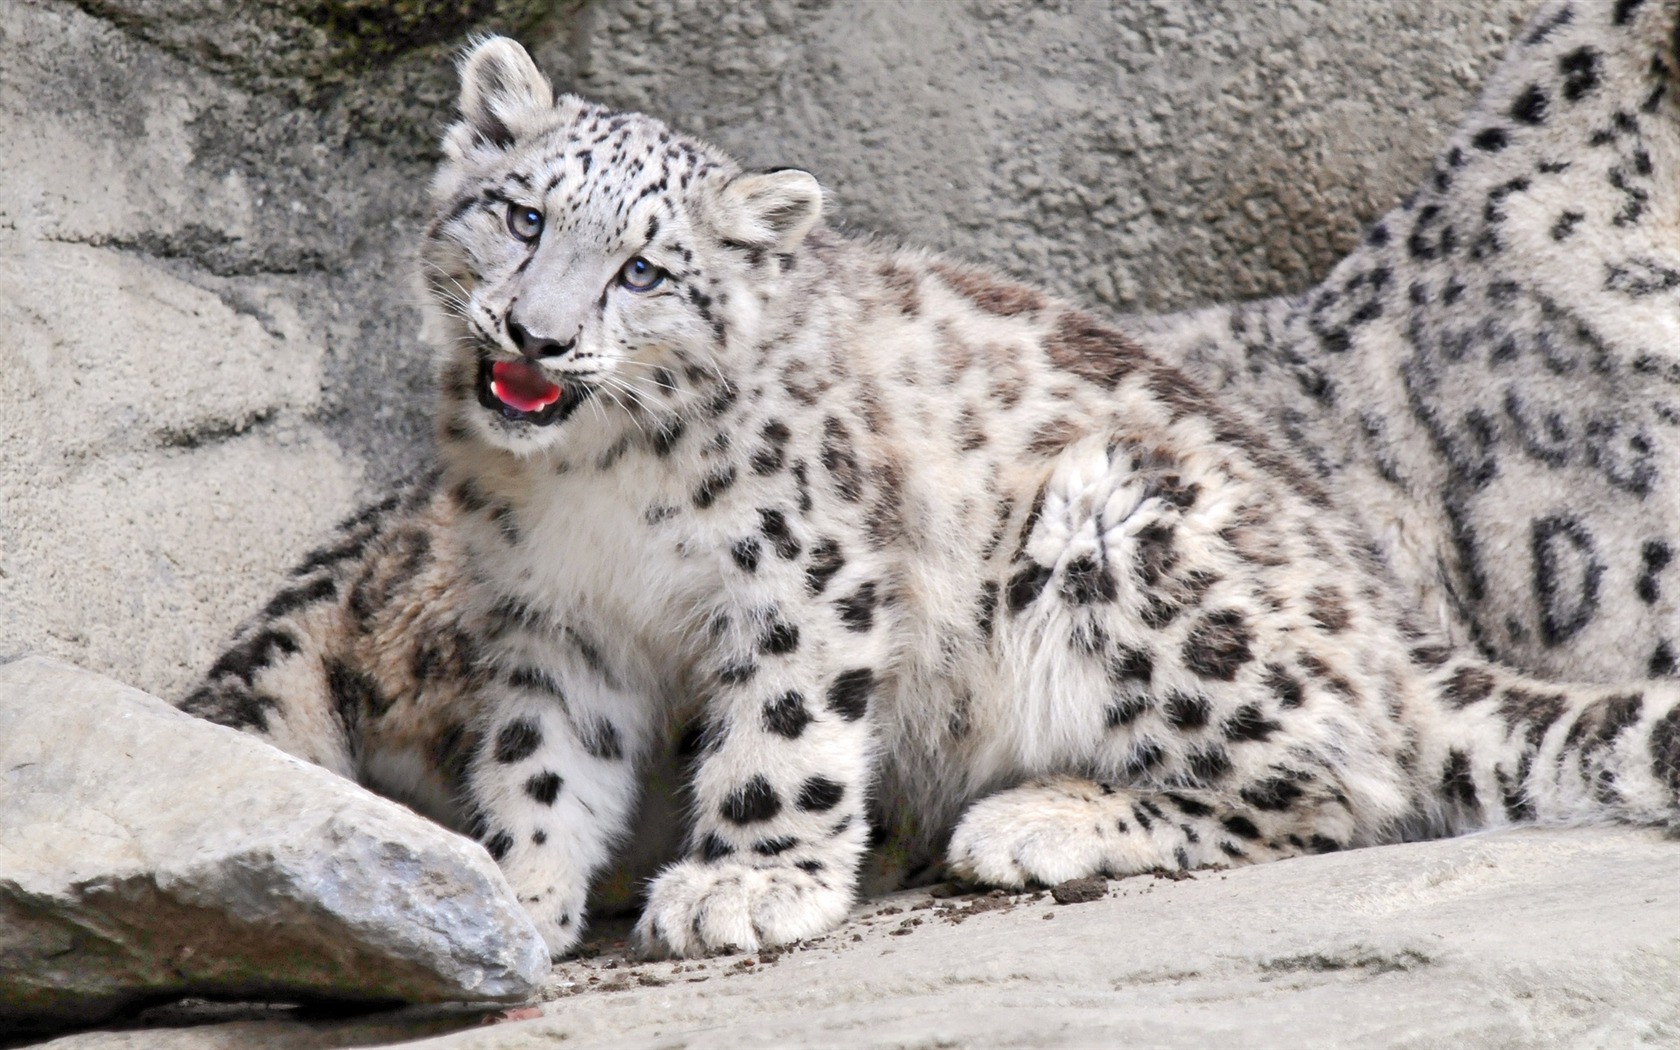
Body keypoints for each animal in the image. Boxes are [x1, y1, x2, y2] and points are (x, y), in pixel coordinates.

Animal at [183, 21, 1680, 963]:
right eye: (523, 214)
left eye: (646, 271)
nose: (537, 338)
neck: (592, 490)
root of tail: (1385, 623)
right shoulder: (554, 620)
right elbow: (547, 758)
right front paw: (519, 888)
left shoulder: (805, 570)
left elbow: (784, 734)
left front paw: (743, 885)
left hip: (1123, 530)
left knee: (1334, 783)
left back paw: (1039, 819)